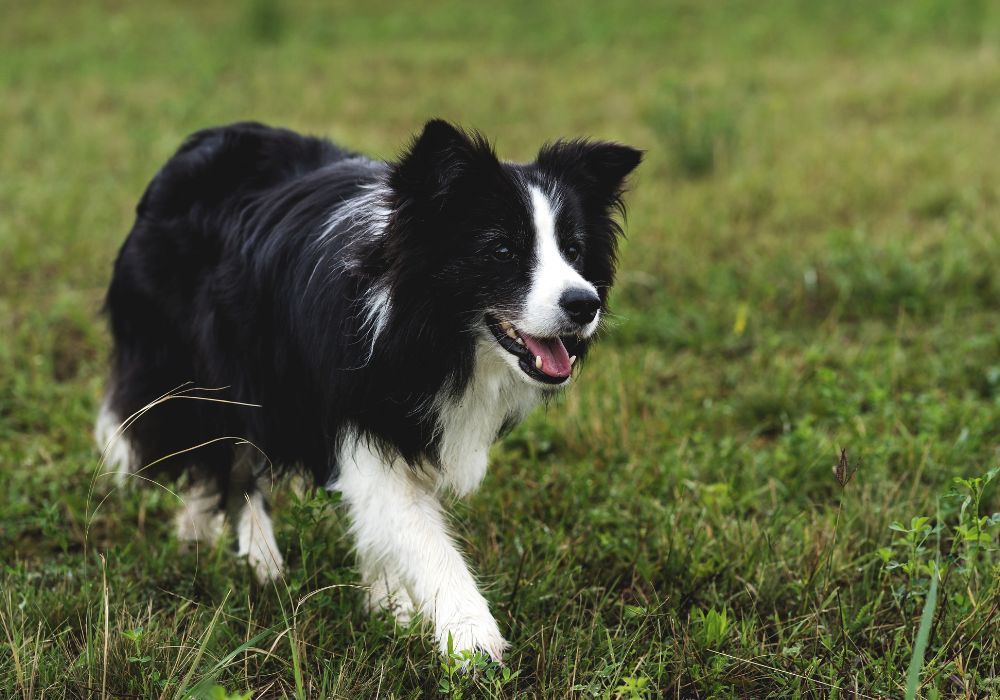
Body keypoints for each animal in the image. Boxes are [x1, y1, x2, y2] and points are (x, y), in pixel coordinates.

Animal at [94, 117, 640, 660]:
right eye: (502, 249)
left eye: (574, 249)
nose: (584, 304)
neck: (431, 337)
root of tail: (196, 145)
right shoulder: (355, 408)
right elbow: (416, 527)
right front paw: (471, 637)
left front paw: (390, 604)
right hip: (202, 359)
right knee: (218, 445)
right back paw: (245, 555)